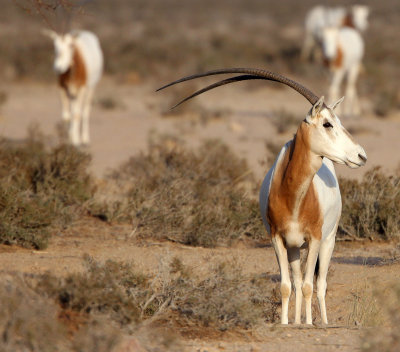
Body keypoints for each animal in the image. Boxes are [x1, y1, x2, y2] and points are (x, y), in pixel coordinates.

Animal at [158, 69, 368, 324]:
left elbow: (310, 286)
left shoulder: (315, 238)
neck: (293, 195)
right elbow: (287, 286)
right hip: (295, 247)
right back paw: (297, 322)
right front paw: (287, 324)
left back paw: (323, 322)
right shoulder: (277, 239)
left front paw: (309, 324)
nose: (361, 156)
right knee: (298, 282)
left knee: (320, 284)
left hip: (329, 240)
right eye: (327, 123)